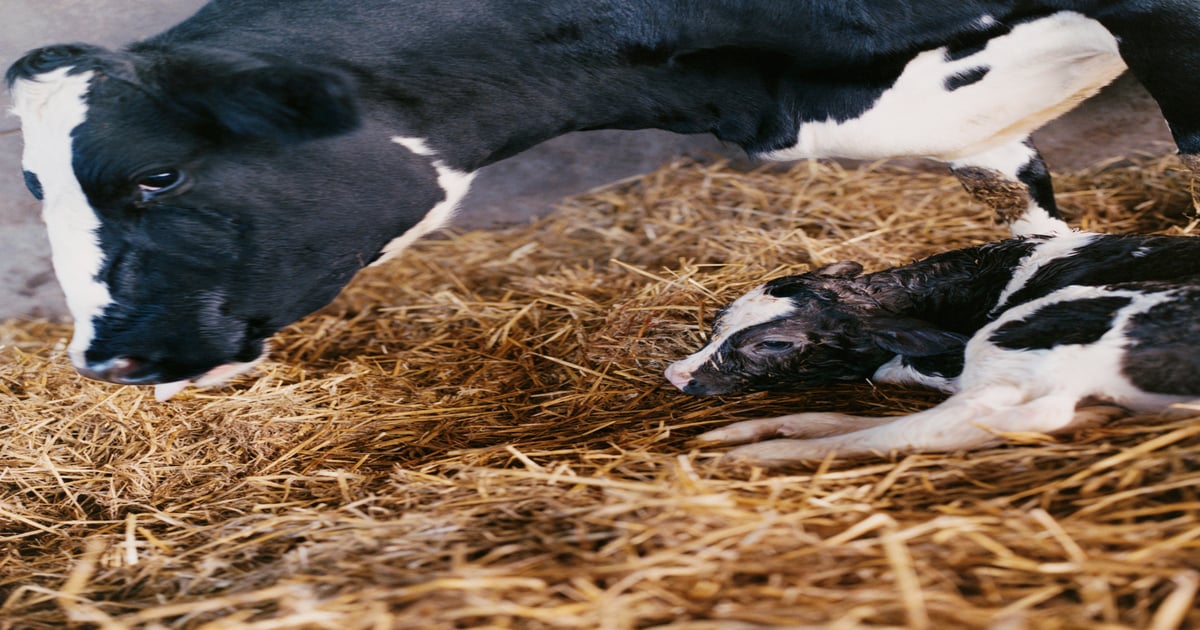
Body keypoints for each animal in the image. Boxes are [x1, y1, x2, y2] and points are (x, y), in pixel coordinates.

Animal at [665, 232, 1200, 464]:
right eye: (718, 320)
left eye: (773, 343)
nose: (676, 374)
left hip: (1027, 337)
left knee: (944, 425)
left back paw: (752, 452)